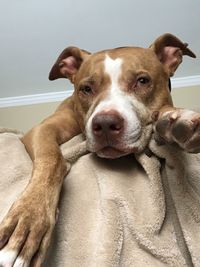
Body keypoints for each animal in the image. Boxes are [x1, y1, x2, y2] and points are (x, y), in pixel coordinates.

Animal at [0, 33, 200, 267]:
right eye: (86, 89)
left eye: (142, 81)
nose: (104, 124)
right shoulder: (43, 129)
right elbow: (53, 159)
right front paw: (28, 218)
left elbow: (167, 111)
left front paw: (177, 118)